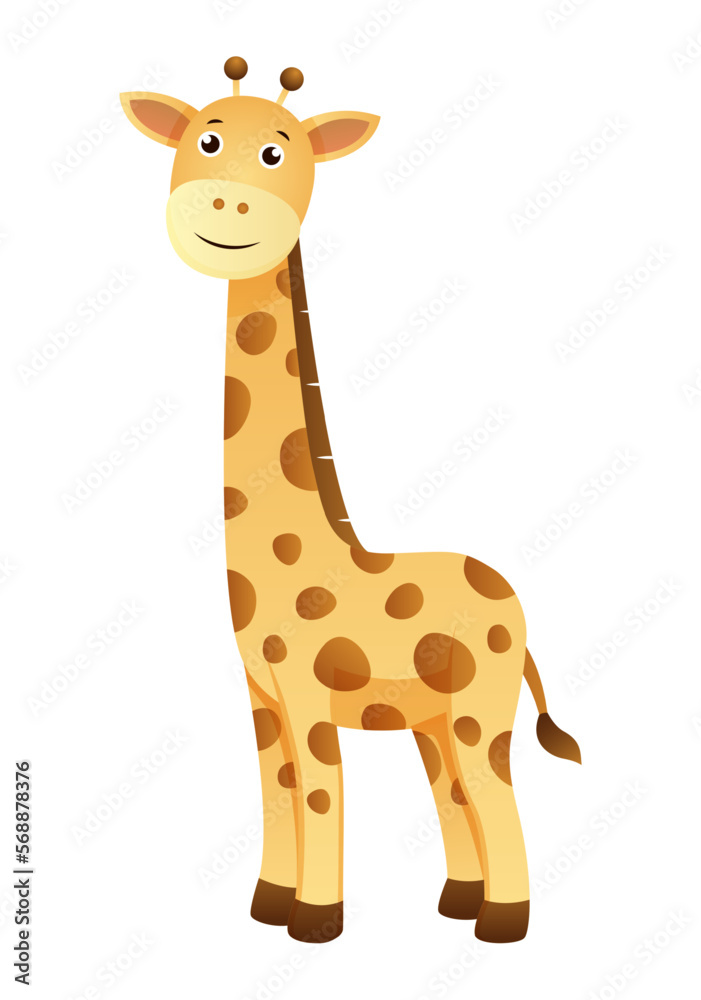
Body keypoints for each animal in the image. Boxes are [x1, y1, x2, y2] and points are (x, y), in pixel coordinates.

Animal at [121, 56, 581, 946]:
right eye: (205, 140)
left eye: (277, 153)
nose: (222, 207)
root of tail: (512, 600)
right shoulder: (260, 698)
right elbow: (277, 791)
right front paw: (268, 906)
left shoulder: (306, 694)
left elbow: (320, 791)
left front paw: (314, 922)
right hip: (433, 721)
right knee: (452, 791)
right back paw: (458, 904)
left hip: (479, 707)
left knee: (495, 791)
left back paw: (501, 925)